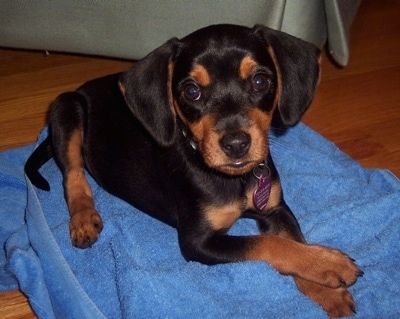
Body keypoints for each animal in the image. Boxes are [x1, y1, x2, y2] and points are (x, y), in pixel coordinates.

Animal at [25, 24, 362, 318]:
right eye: (191, 91)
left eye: (259, 81)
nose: (237, 144)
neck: (233, 179)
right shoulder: (197, 242)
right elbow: (269, 244)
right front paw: (332, 264)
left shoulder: (274, 208)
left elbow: (294, 240)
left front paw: (327, 288)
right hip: (65, 108)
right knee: (73, 176)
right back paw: (83, 220)